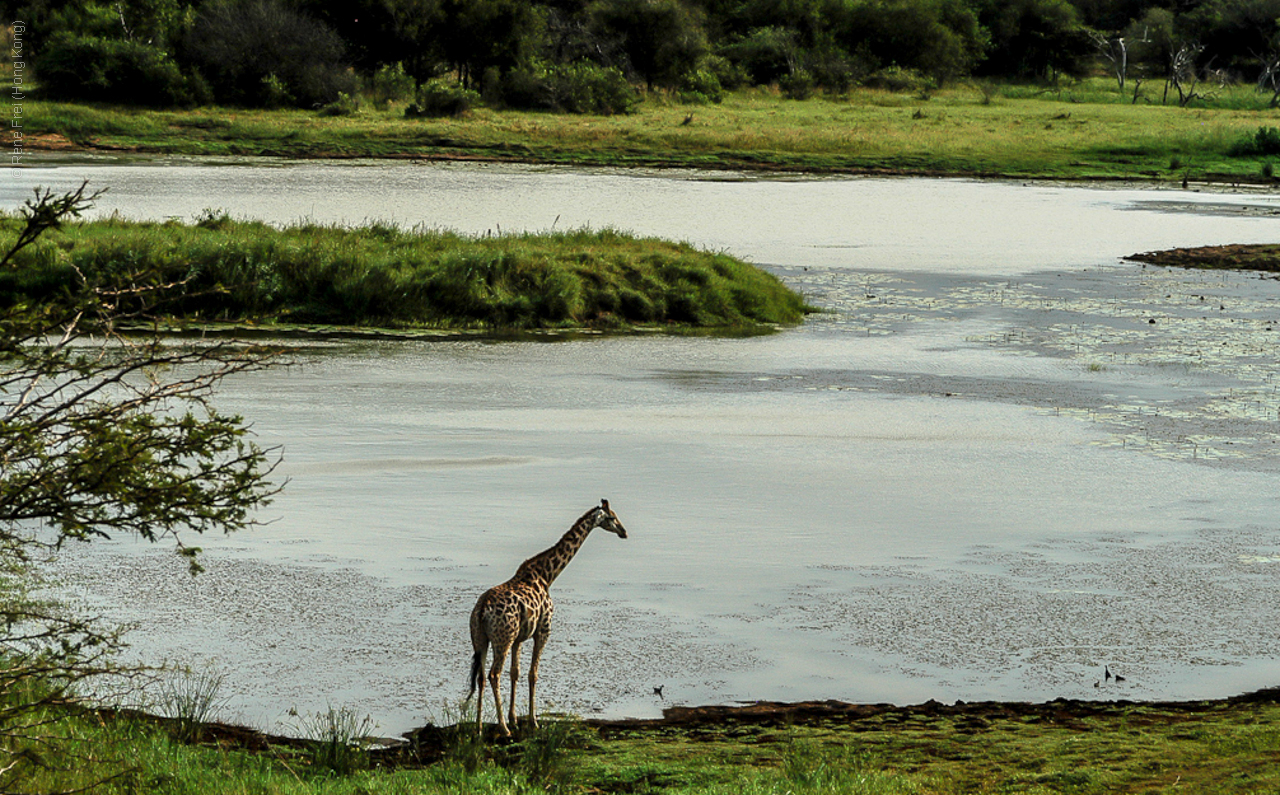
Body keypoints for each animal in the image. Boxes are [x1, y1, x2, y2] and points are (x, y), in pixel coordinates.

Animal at [471, 499, 629, 732]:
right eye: (612, 517)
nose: (624, 532)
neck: (547, 575)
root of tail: (482, 609)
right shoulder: (543, 630)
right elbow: (533, 674)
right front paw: (532, 721)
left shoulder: (519, 638)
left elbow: (515, 672)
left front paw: (514, 718)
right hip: (502, 638)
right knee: (493, 674)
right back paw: (503, 728)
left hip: (481, 639)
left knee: (481, 677)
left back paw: (479, 727)